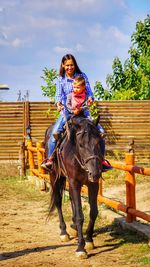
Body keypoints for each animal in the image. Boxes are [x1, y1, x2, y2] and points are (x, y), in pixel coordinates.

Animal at [44, 115, 103, 260]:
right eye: (80, 144)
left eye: (98, 142)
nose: (95, 173)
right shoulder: (75, 183)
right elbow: (80, 216)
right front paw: (81, 248)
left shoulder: (92, 184)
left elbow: (93, 212)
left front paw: (89, 240)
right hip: (55, 176)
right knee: (58, 201)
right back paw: (64, 232)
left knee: (71, 200)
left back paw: (74, 228)